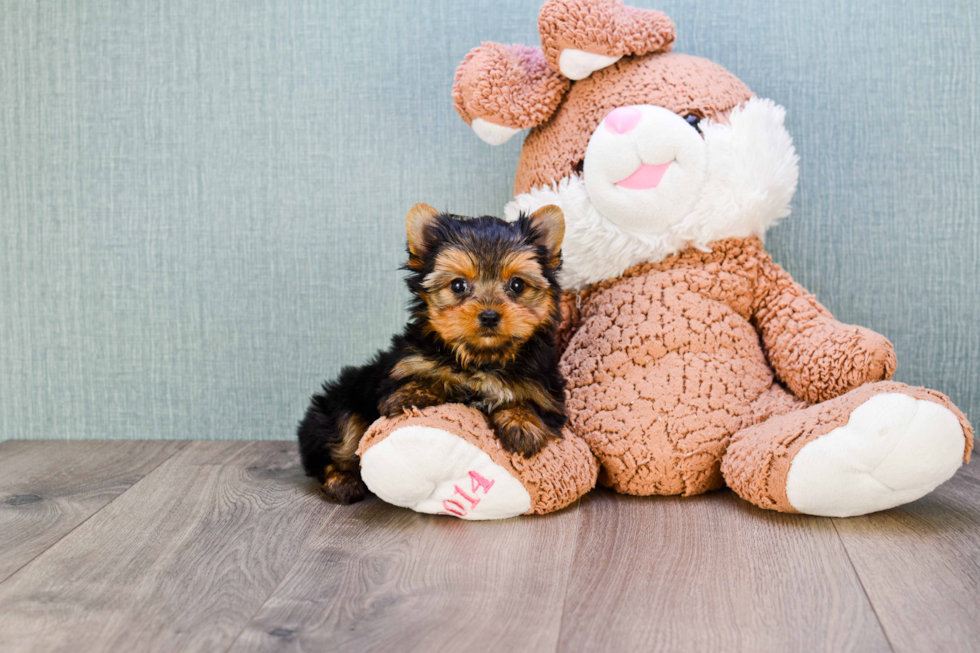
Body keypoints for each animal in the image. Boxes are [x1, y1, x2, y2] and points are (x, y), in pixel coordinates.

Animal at [296, 204, 568, 504]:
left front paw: (521, 425)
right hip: (341, 400)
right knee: (338, 441)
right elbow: (429, 377)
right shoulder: (400, 367)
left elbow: (528, 400)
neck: (481, 358)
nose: (489, 315)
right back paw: (342, 481)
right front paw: (412, 394)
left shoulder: (547, 390)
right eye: (458, 286)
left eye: (517, 285)